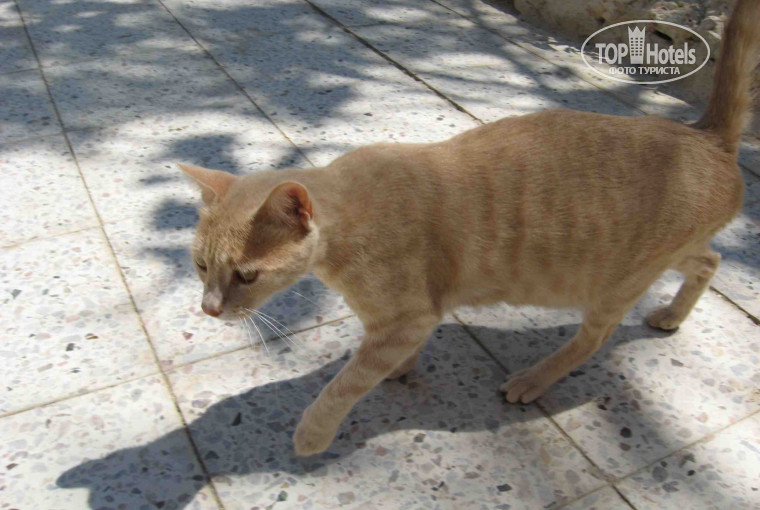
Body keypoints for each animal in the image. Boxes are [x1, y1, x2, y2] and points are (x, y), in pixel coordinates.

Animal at [177, 0, 759, 456]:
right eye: (201, 265)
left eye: (246, 276)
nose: (209, 310)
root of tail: (705, 138)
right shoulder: (411, 317)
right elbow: (389, 358)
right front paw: (401, 368)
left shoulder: (407, 316)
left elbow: (346, 383)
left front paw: (313, 434)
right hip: (666, 256)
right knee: (710, 259)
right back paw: (672, 314)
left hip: (615, 283)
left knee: (593, 340)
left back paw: (533, 378)